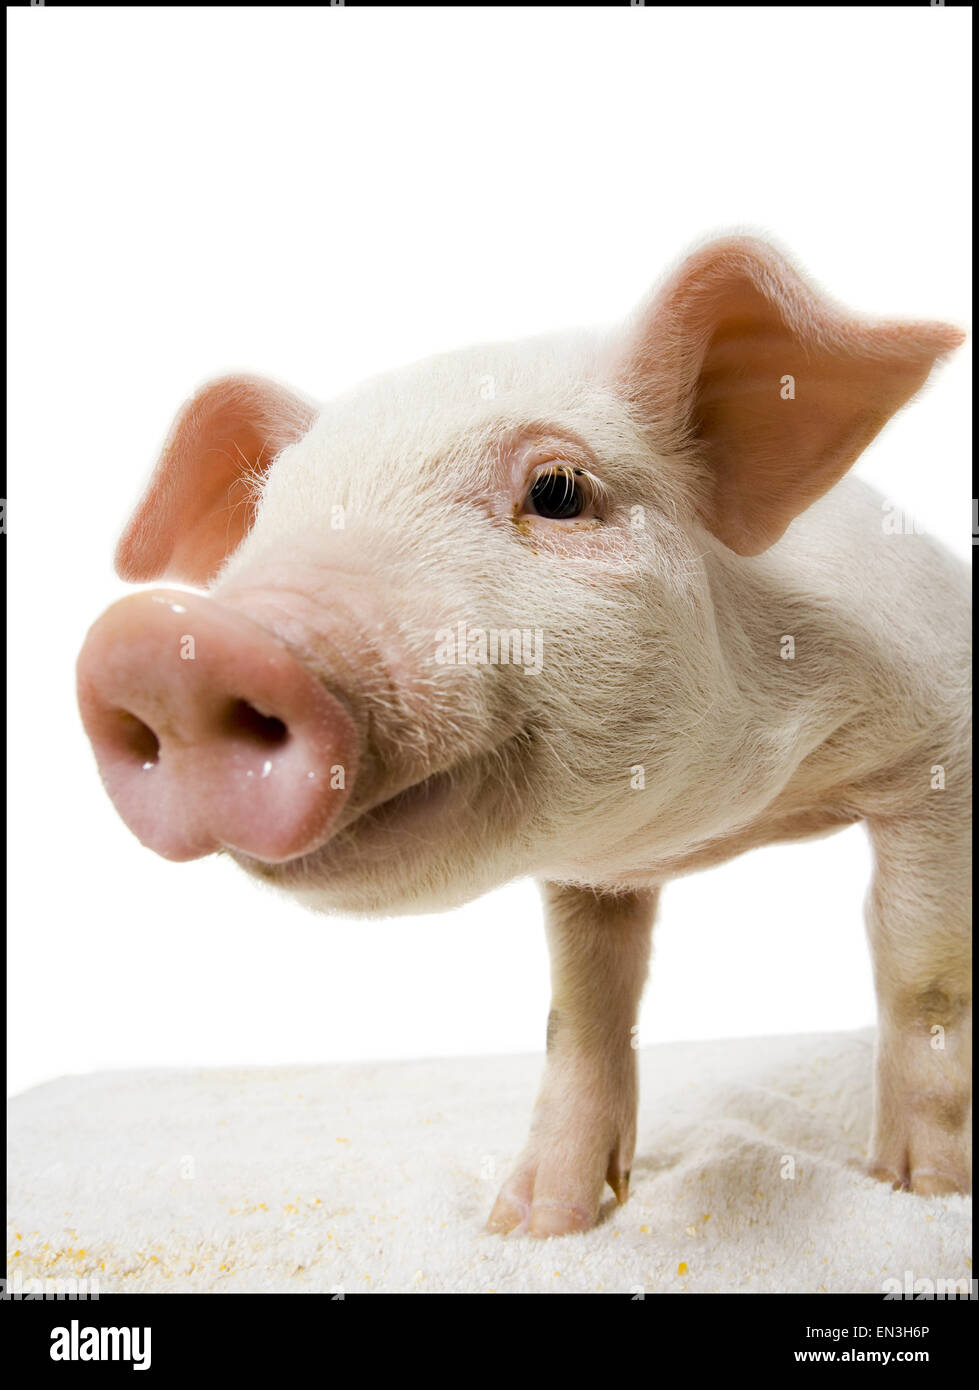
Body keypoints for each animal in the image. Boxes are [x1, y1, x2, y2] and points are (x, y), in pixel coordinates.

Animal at [77, 236, 971, 1237]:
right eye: (266, 522)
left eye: (557, 490)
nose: (161, 643)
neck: (719, 822)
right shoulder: (588, 874)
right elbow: (581, 1008)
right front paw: (534, 1224)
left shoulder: (938, 736)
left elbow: (920, 968)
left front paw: (921, 1191)